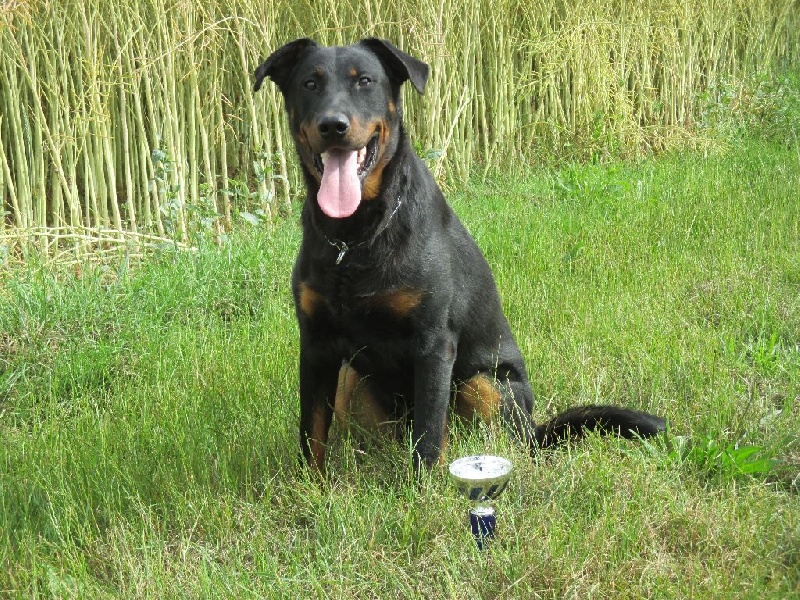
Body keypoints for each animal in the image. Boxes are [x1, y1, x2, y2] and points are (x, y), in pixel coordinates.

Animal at [253, 38, 666, 473]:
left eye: (364, 80)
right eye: (310, 83)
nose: (333, 125)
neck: (355, 238)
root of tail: (535, 432)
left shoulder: (434, 342)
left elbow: (430, 431)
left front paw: (422, 486)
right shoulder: (316, 343)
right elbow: (312, 431)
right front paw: (312, 484)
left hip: (485, 383)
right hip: (353, 378)